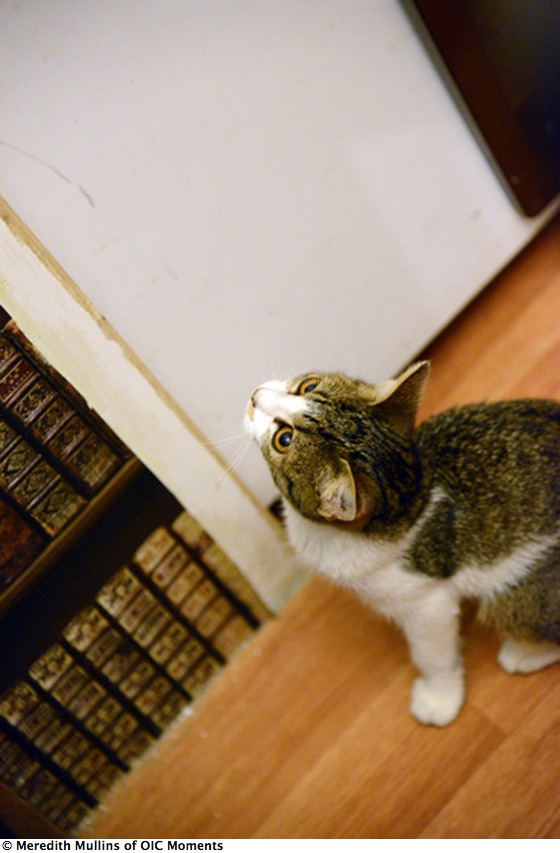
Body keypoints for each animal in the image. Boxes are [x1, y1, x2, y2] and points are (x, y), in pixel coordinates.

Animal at [247, 360, 560, 724]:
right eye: (307, 386)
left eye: (283, 438)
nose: (255, 395)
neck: (411, 493)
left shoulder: (424, 600)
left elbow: (432, 653)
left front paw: (440, 699)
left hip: (518, 600)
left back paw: (522, 654)